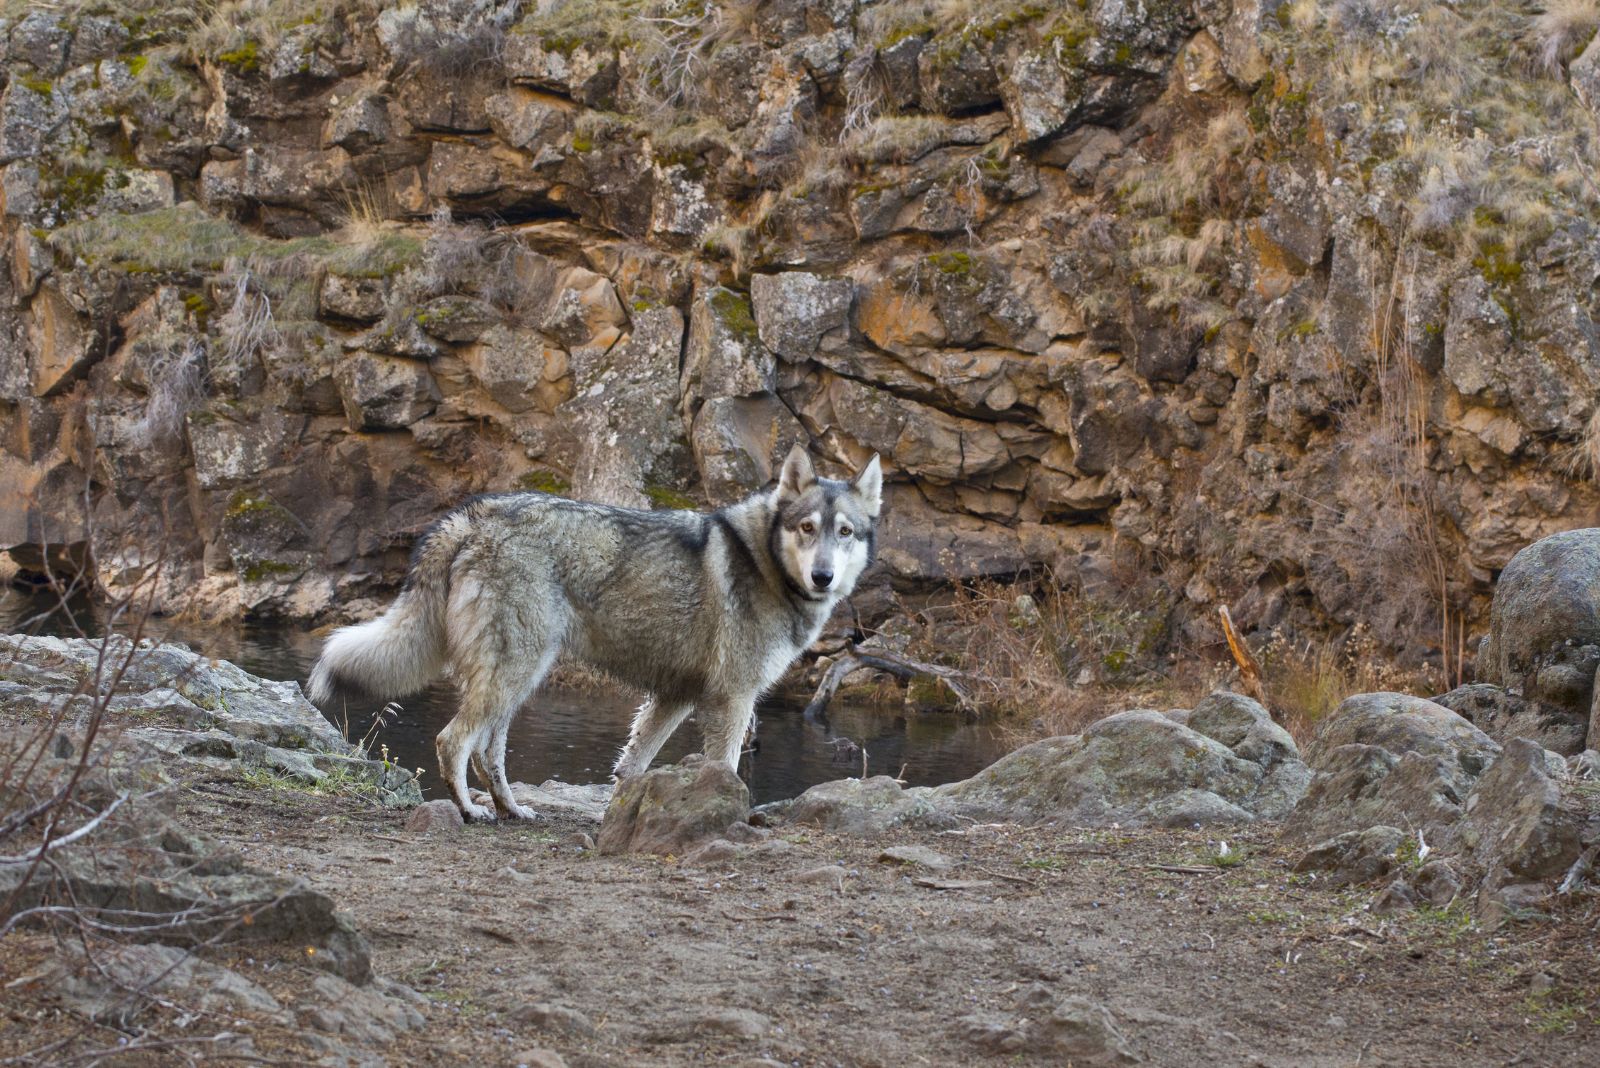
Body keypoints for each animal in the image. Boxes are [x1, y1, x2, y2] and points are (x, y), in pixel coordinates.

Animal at [305, 447, 883, 824]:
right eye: (807, 528)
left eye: (845, 532)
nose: (823, 577)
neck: (764, 564)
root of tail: (472, 515)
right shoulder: (733, 698)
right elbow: (727, 769)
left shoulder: (675, 696)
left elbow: (631, 766)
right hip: (515, 672)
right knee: (453, 742)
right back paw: (470, 811)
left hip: (519, 680)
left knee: (488, 753)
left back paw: (511, 809)